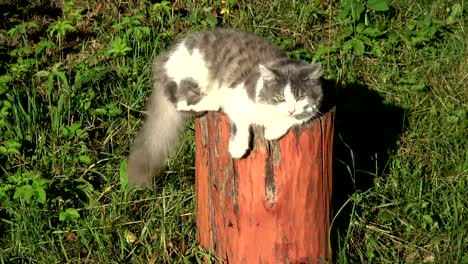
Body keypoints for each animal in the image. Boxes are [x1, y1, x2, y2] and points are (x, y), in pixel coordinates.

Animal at [128, 28, 326, 185]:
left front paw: (273, 130)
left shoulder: (311, 110)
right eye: (279, 97)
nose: (291, 108)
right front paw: (238, 148)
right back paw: (213, 100)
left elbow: (295, 119)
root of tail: (161, 61)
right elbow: (241, 125)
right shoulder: (236, 102)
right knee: (181, 100)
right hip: (191, 75)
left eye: (300, 97)